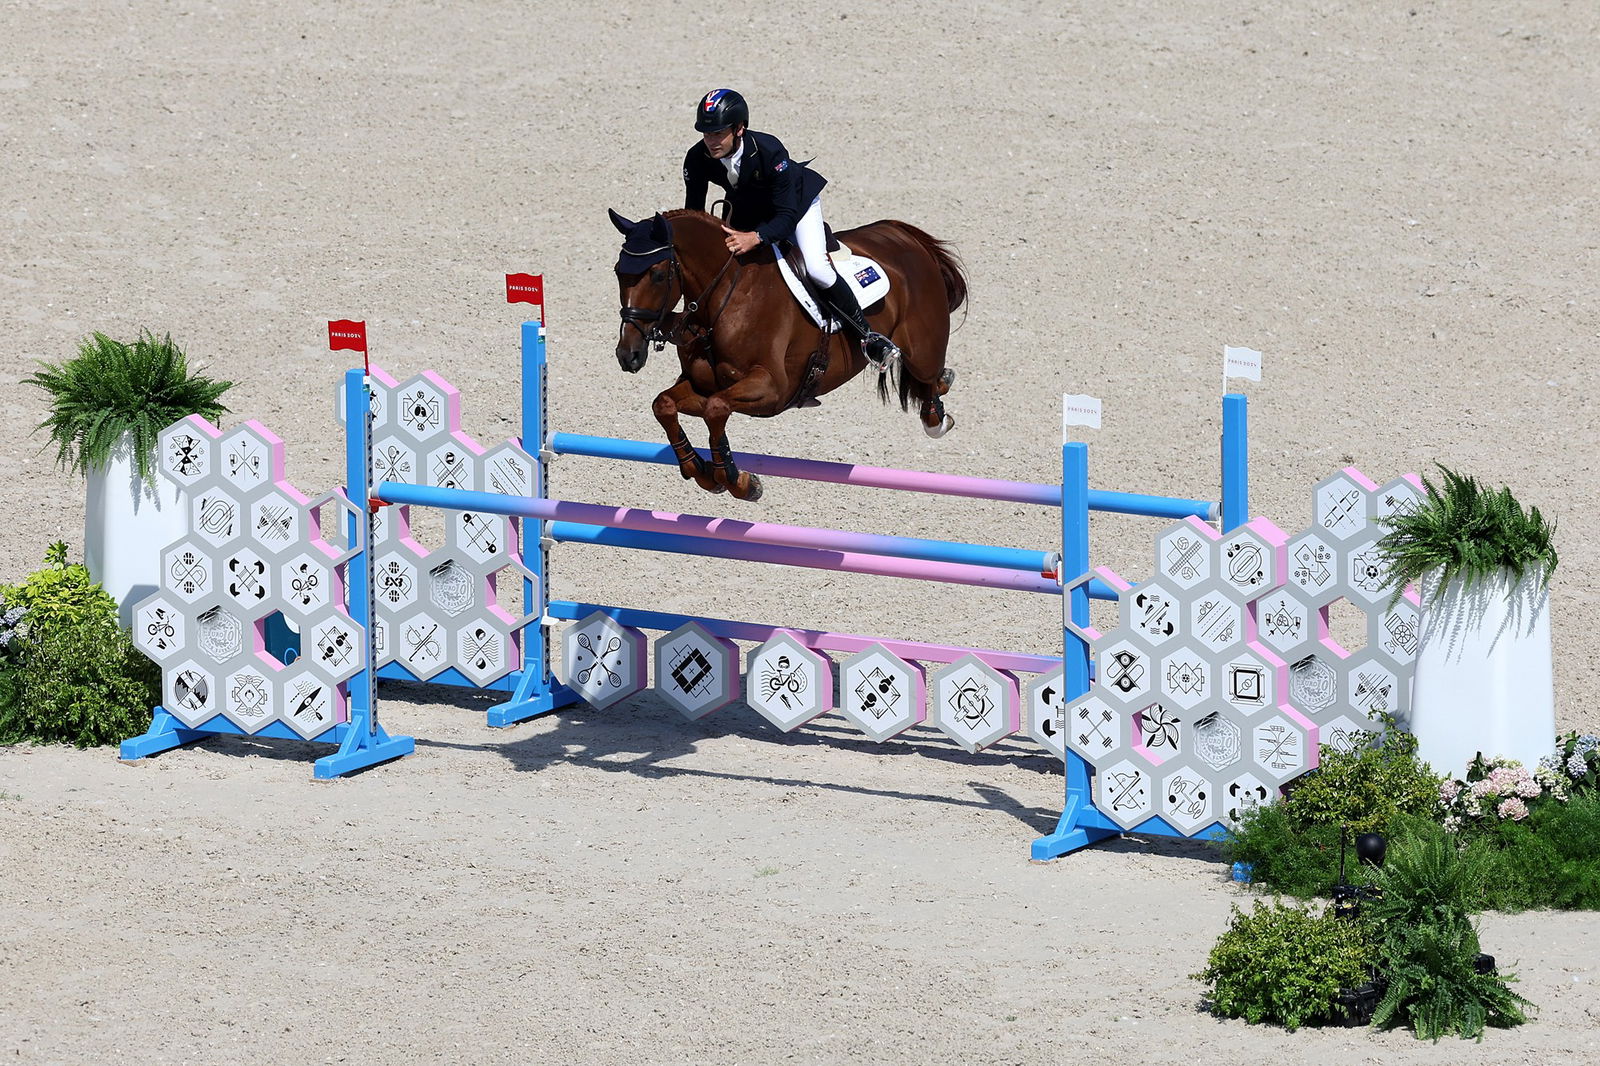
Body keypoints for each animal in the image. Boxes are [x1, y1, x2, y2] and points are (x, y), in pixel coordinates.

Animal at [608, 214, 960, 505]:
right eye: (617, 272)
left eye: (657, 275)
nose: (628, 355)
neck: (724, 299)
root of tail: (901, 234)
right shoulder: (701, 385)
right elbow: (665, 405)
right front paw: (701, 470)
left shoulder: (771, 390)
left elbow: (716, 409)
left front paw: (737, 481)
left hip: (921, 348)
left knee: (928, 378)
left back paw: (936, 412)